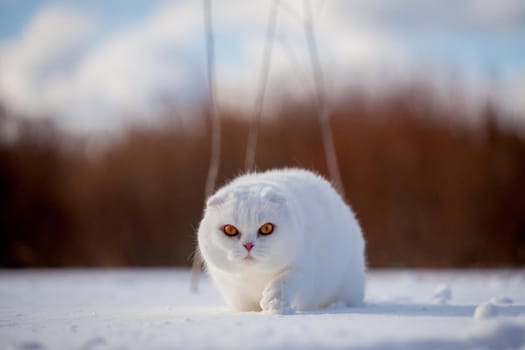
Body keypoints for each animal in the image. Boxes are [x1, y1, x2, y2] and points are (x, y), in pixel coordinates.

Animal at [196, 168, 364, 314]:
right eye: (230, 230)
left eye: (266, 228)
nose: (248, 245)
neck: (255, 275)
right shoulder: (234, 291)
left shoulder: (304, 268)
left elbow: (284, 282)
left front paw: (273, 303)